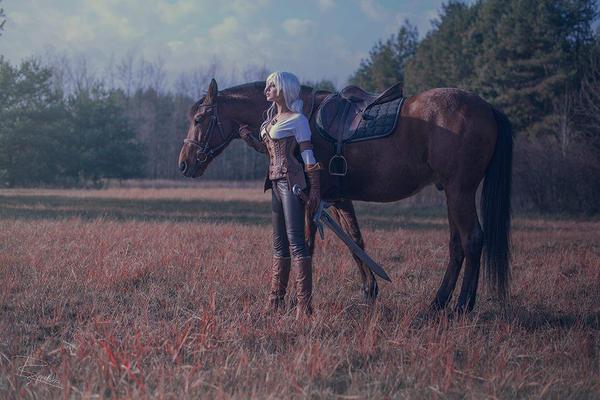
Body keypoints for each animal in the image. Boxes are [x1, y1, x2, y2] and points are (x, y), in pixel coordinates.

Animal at [177, 79, 510, 312]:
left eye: (199, 120)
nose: (184, 163)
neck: (299, 115)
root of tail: (487, 108)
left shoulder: (309, 199)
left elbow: (307, 246)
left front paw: (298, 302)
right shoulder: (336, 199)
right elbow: (356, 242)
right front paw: (369, 291)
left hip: (460, 191)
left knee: (472, 240)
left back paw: (462, 306)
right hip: (451, 194)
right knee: (457, 245)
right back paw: (438, 304)